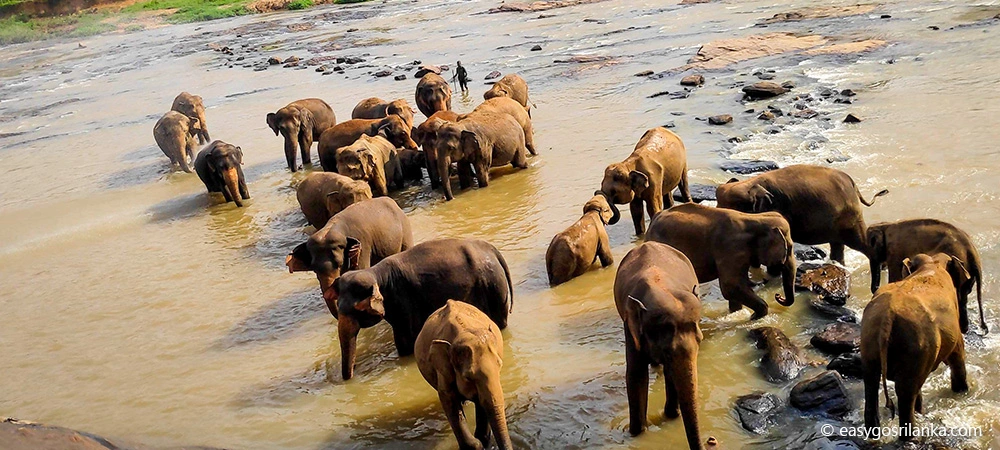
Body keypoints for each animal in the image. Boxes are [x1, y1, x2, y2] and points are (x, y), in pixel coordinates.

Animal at [328, 238, 512, 380]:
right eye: (339, 306)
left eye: (357, 309)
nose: (350, 377)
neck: (375, 273)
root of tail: (492, 249)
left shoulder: (402, 301)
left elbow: (405, 341)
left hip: (494, 287)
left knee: (500, 321)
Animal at [415, 300, 511, 450]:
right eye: (468, 377)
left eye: (500, 367)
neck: (463, 331)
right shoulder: (442, 370)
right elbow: (448, 398)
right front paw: (476, 444)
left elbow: (481, 401)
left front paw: (483, 440)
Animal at [614, 241, 703, 449]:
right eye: (667, 352)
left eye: (700, 341)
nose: (712, 441)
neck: (660, 287)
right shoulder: (630, 326)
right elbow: (636, 375)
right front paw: (636, 433)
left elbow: (672, 372)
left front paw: (671, 416)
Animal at [645, 203, 796, 319]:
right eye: (789, 248)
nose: (778, 296)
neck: (755, 218)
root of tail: (655, 217)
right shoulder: (730, 249)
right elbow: (730, 286)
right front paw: (754, 316)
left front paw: (737, 312)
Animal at [861, 253, 970, 441]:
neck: (932, 264)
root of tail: (887, 317)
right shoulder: (954, 329)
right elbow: (958, 356)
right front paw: (962, 391)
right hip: (916, 343)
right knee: (906, 391)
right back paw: (910, 436)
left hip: (870, 339)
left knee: (871, 382)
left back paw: (874, 433)